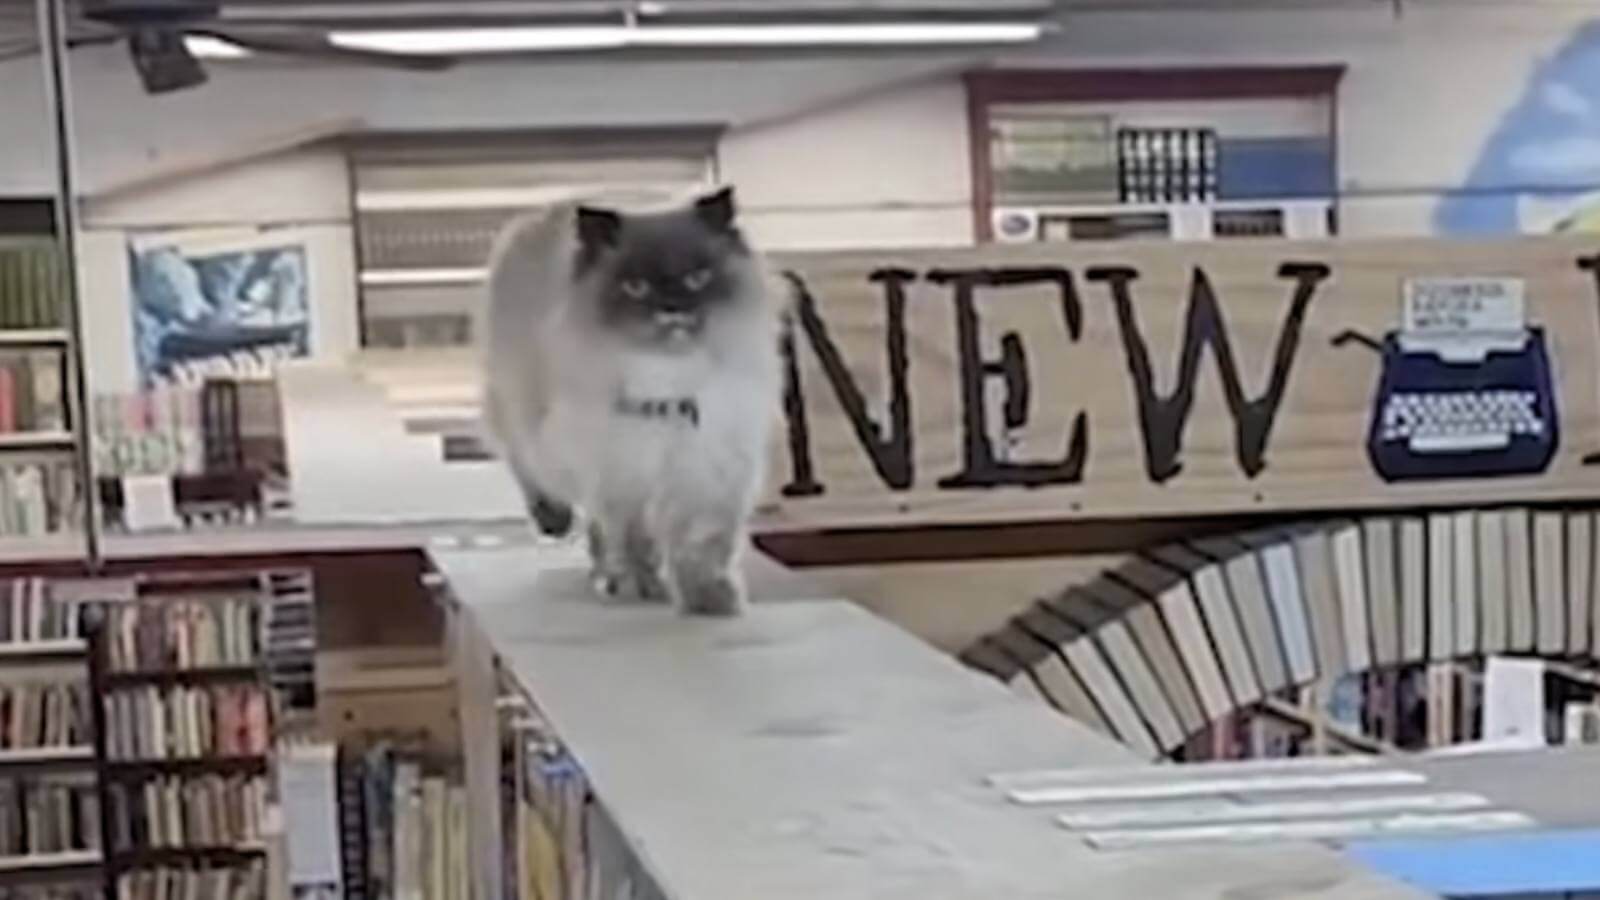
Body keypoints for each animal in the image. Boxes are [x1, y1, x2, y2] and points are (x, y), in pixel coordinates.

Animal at [480, 185, 780, 611]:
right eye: (636, 287)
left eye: (698, 278)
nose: (672, 311)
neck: (667, 384)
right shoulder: (621, 471)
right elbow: (633, 537)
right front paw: (642, 585)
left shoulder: (706, 470)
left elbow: (700, 545)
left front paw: (709, 600)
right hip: (527, 424)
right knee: (530, 471)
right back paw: (566, 533)